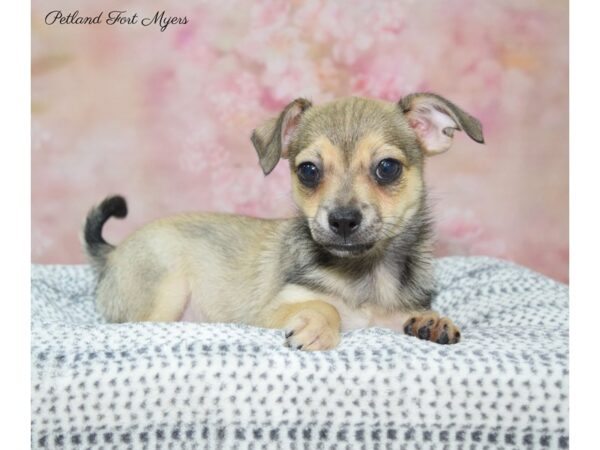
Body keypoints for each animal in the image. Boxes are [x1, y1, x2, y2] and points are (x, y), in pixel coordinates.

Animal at [83, 93, 482, 350]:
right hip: (165, 291)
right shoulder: (266, 312)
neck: (363, 273)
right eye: (308, 171)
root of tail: (112, 253)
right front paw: (317, 329)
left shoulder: (389, 318)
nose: (342, 220)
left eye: (387, 168)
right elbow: (322, 306)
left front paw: (434, 320)